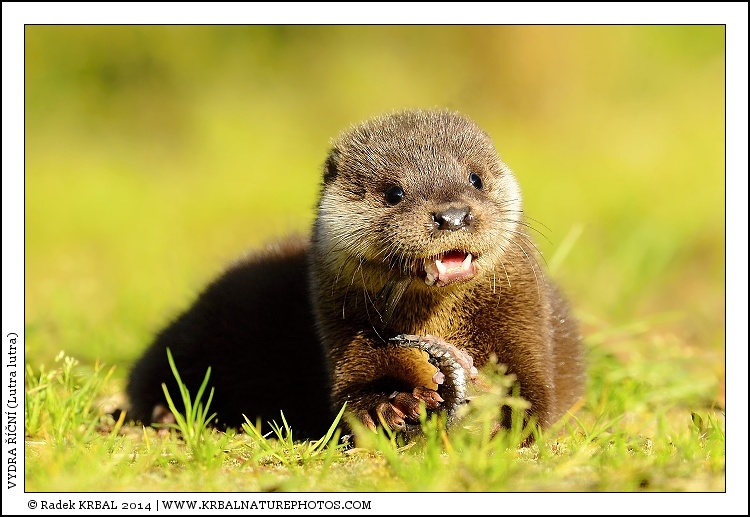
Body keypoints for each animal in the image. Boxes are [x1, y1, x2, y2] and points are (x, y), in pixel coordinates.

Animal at [126, 109, 584, 440]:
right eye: (394, 192)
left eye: (475, 178)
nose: (452, 215)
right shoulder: (343, 333)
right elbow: (351, 397)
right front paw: (394, 407)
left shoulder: (524, 321)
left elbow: (535, 397)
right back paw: (167, 415)